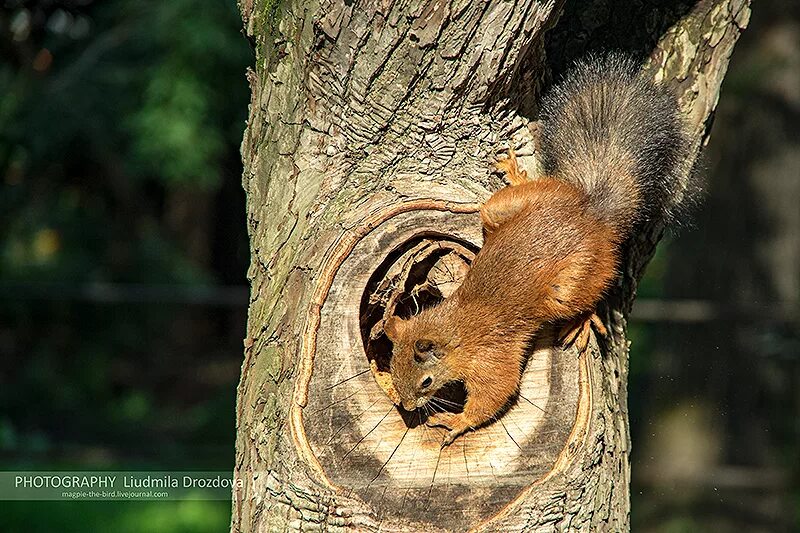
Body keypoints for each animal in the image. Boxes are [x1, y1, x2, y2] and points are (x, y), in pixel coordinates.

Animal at [384, 55, 692, 444]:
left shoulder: (492, 357)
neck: (456, 330)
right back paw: (516, 174)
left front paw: (457, 421)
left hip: (572, 282)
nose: (407, 406)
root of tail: (590, 213)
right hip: (502, 210)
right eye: (391, 363)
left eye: (426, 381)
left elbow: (496, 392)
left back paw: (582, 321)